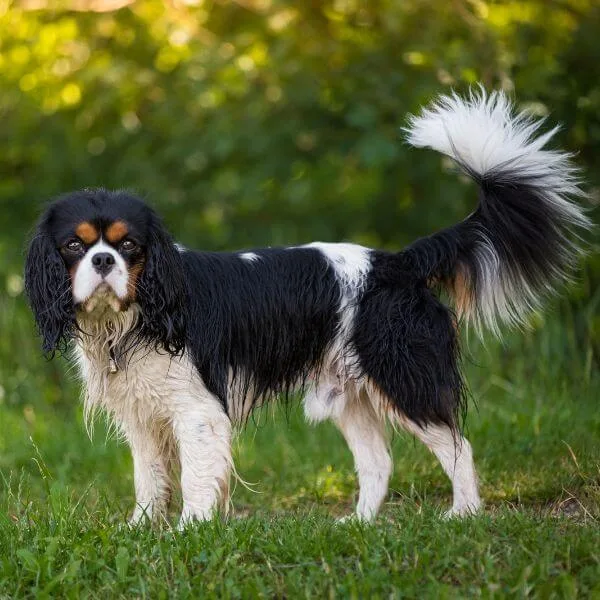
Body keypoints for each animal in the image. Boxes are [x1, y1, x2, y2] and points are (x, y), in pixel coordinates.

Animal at [24, 90, 592, 524]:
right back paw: (359, 525)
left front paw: (189, 530)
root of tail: (398, 263)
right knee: (378, 462)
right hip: (349, 394)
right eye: (74, 246)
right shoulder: (143, 416)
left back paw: (464, 514)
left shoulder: (197, 412)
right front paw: (142, 530)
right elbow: (150, 478)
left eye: (129, 246)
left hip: (401, 373)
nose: (102, 260)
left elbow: (197, 479)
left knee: (457, 445)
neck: (133, 316)